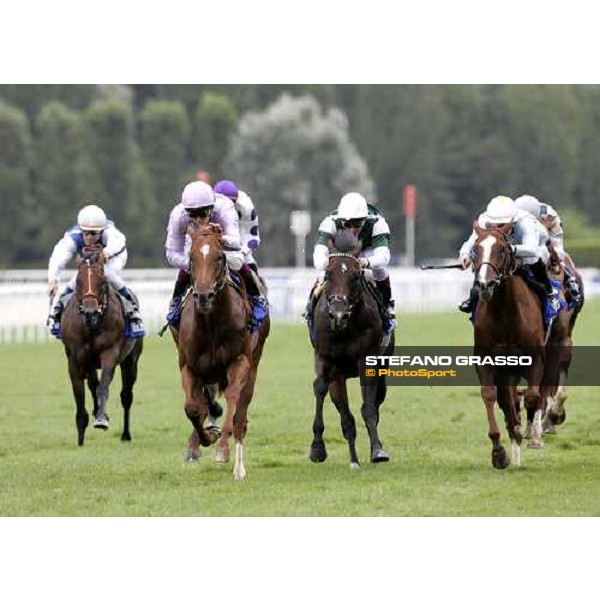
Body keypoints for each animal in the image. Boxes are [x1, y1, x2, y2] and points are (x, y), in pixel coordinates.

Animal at [59, 246, 144, 448]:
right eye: (78, 282)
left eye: (103, 282)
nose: (90, 312)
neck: (92, 326)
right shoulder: (75, 360)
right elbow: (80, 396)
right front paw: (80, 440)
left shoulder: (110, 354)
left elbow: (103, 387)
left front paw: (101, 420)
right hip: (90, 362)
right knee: (92, 384)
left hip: (131, 361)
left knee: (126, 396)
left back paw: (125, 434)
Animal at [173, 223, 268, 480]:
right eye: (192, 257)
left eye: (219, 257)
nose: (204, 296)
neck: (211, 323)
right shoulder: (189, 366)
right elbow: (192, 408)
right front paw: (205, 438)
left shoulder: (240, 361)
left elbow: (234, 401)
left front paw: (222, 449)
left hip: (253, 366)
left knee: (241, 415)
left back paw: (239, 467)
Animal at [310, 253, 394, 468]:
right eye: (328, 275)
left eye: (355, 276)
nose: (339, 315)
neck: (345, 328)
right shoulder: (327, 360)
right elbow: (321, 388)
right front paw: (317, 448)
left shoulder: (367, 359)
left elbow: (369, 409)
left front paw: (378, 450)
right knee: (345, 415)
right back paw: (353, 459)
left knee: (375, 402)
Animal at [468, 224, 548, 468]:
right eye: (475, 249)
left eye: (502, 249)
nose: (485, 284)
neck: (505, 314)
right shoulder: (486, 360)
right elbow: (489, 395)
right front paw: (499, 452)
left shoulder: (536, 359)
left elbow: (532, 397)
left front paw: (526, 432)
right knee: (506, 400)